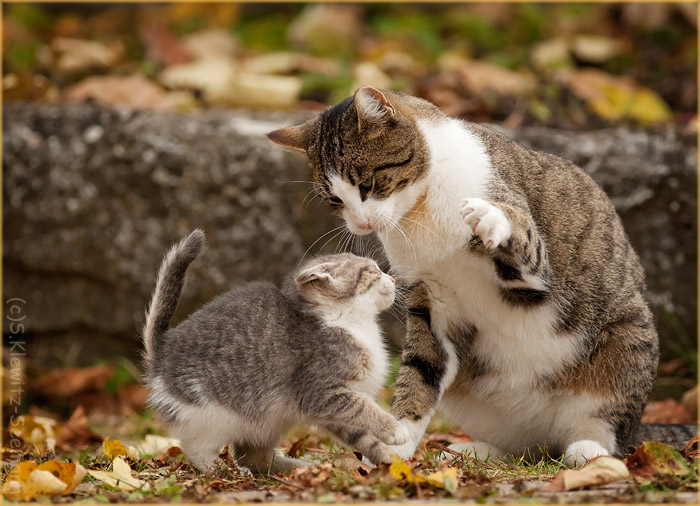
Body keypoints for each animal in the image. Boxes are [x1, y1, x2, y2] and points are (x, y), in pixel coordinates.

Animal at [143, 229, 408, 470]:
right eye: (372, 271)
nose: (394, 279)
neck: (346, 322)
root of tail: (162, 350)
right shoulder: (320, 392)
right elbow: (363, 408)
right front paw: (396, 429)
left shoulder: (333, 410)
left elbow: (361, 434)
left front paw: (388, 457)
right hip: (210, 412)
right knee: (198, 449)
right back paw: (223, 471)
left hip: (266, 422)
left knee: (256, 459)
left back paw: (302, 467)